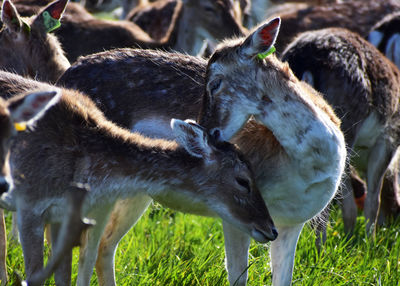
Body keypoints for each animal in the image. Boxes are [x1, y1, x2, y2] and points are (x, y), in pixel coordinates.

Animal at [0, 70, 276, 286]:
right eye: (243, 181)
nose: (270, 229)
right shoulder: (30, 202)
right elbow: (35, 274)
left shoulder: (62, 216)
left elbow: (64, 275)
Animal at [57, 17, 348, 286]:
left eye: (215, 82)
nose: (205, 130)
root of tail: (63, 77)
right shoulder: (234, 215)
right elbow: (238, 276)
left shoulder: (293, 222)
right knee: (84, 248)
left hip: (134, 192)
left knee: (104, 247)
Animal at [282, 26, 400, 236]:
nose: (390, 227)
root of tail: (305, 62)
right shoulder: (388, 140)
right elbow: (373, 199)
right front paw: (368, 239)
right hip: (344, 129)